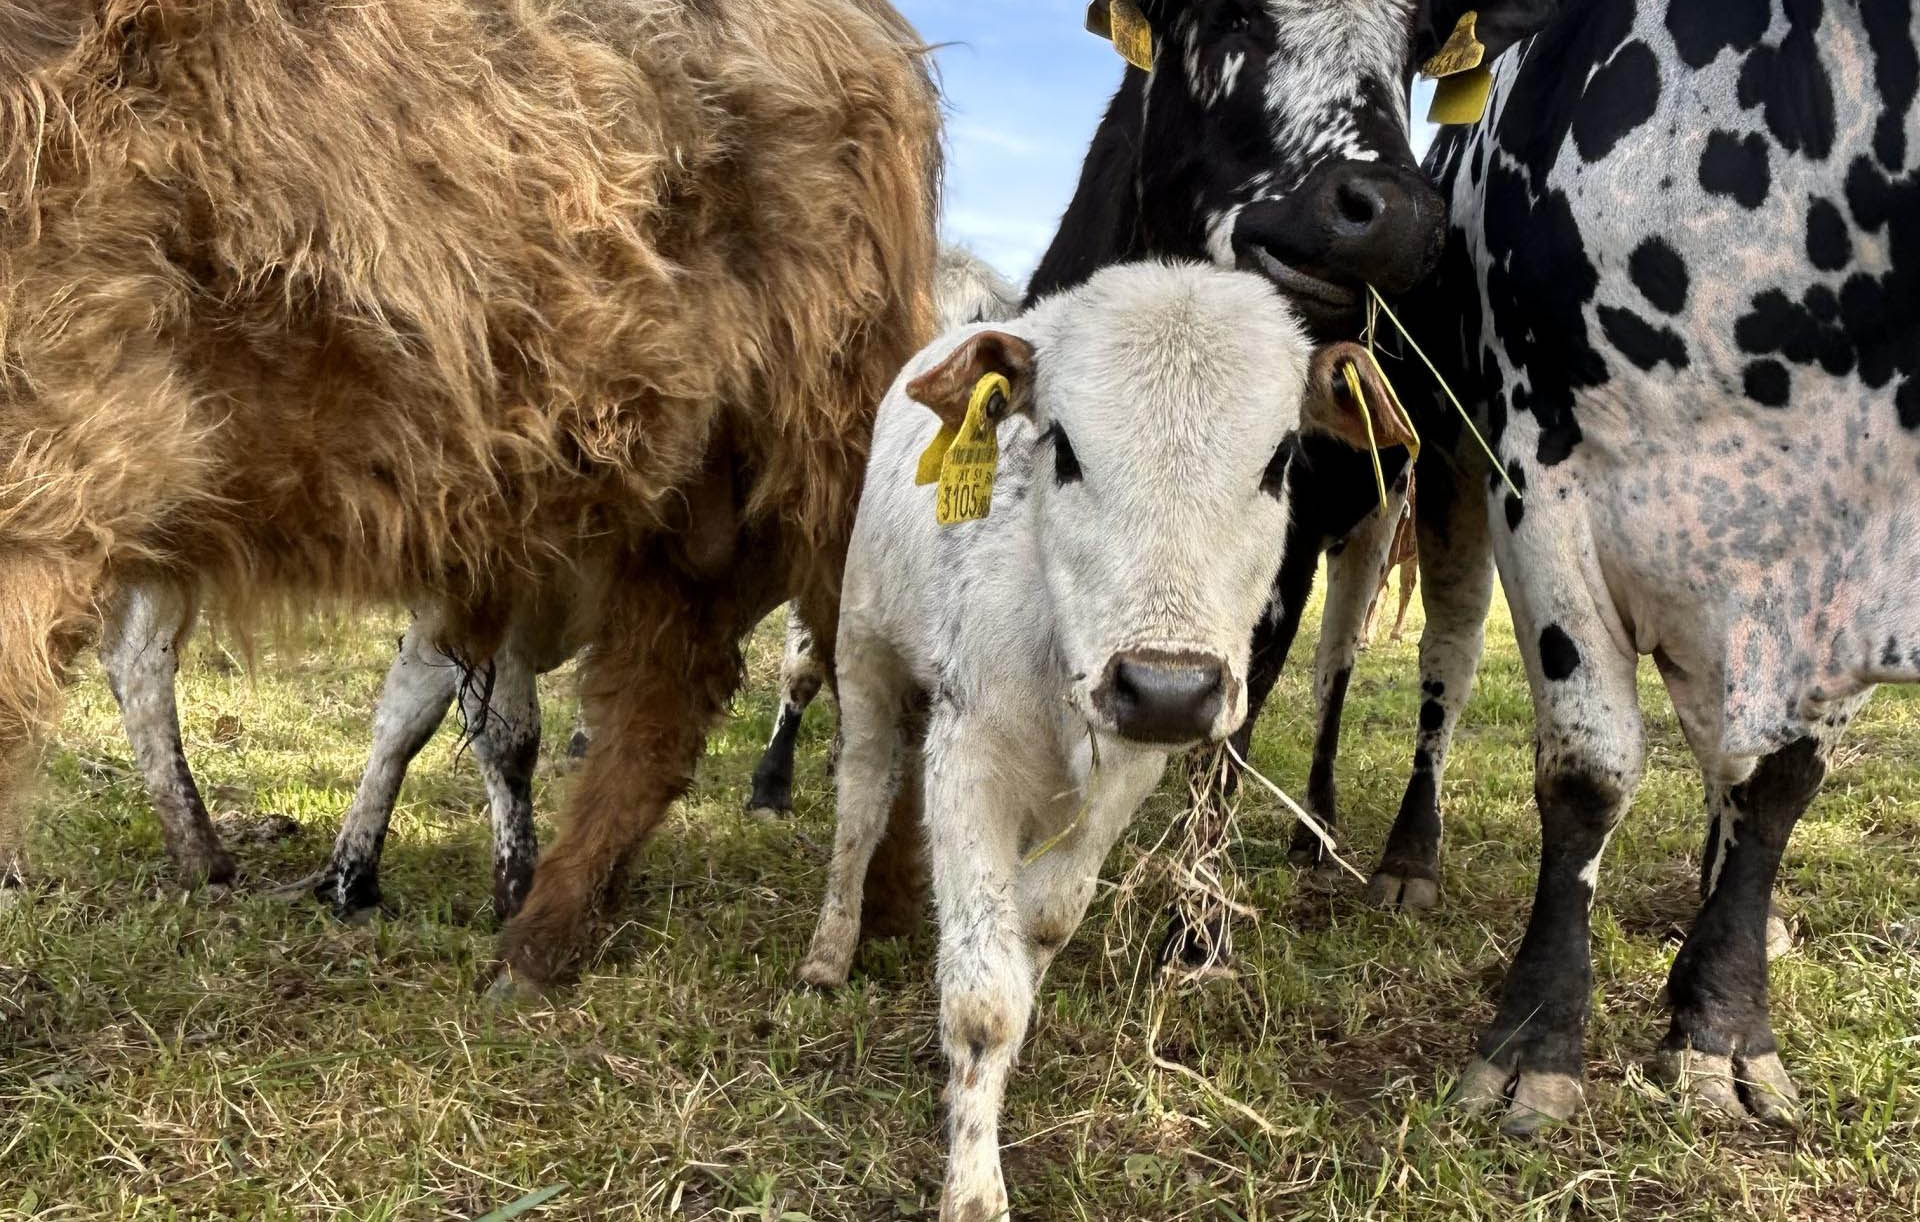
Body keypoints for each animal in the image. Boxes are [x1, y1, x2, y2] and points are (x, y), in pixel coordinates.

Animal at [0, 0, 942, 995]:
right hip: (681, 495)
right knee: (671, 694)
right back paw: (548, 930)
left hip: (812, 460)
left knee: (861, 698)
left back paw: (863, 921)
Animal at [792, 261, 1415, 1220]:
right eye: (1065, 449)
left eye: (1279, 460)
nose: (1167, 686)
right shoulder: (966, 755)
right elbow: (981, 999)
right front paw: (974, 1187)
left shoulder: (1124, 773)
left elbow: (1042, 921)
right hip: (864, 649)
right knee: (859, 801)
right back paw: (829, 949)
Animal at [1373, 0, 1920, 1133]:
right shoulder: (1543, 475)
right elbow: (1588, 773)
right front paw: (1531, 1045)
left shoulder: (1870, 559)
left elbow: (1777, 786)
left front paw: (1722, 1027)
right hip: (1443, 460)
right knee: (1448, 661)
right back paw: (1408, 860)